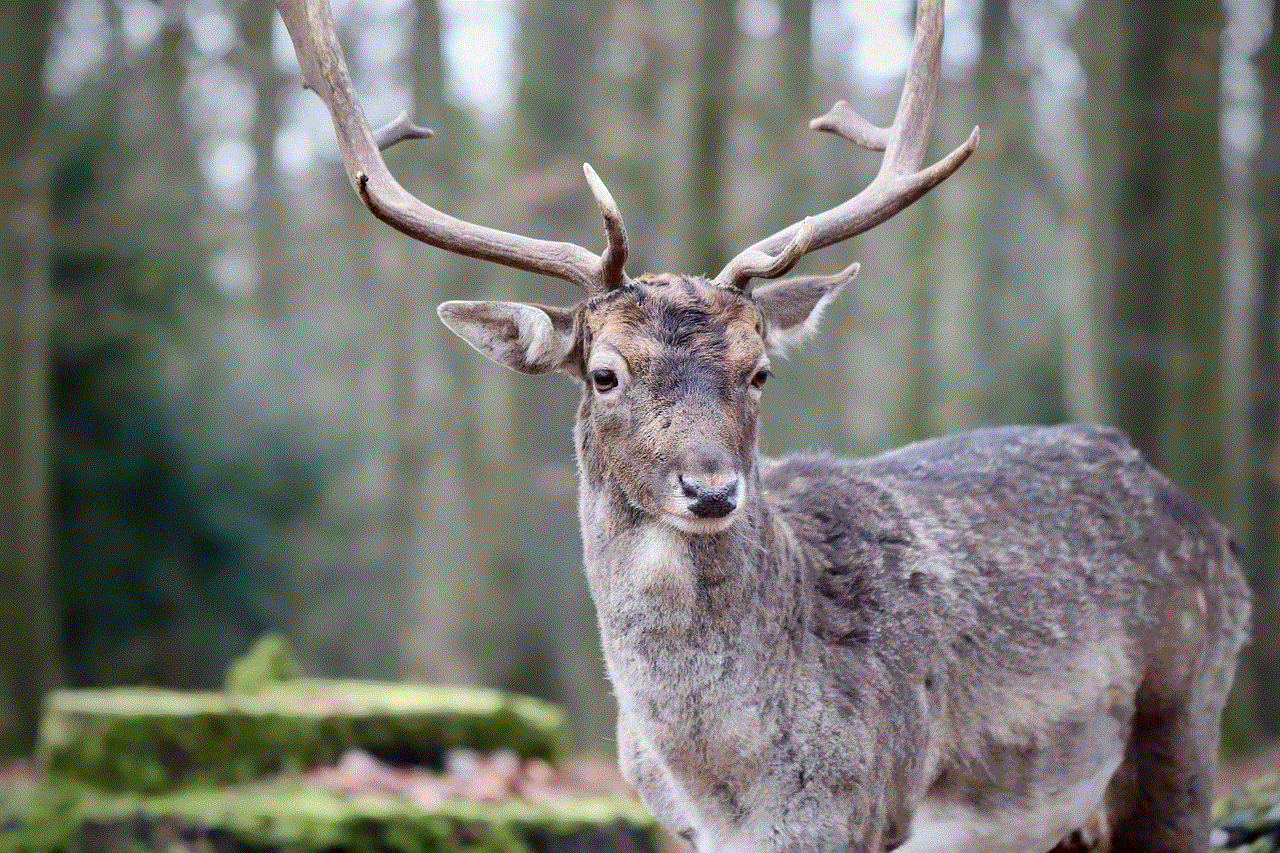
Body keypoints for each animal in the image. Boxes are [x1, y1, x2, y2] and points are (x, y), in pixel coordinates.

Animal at [272, 1, 1249, 850]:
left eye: (760, 369)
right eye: (604, 373)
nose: (710, 489)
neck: (732, 783)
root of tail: (1215, 530)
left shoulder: (865, 810)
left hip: (1183, 720)